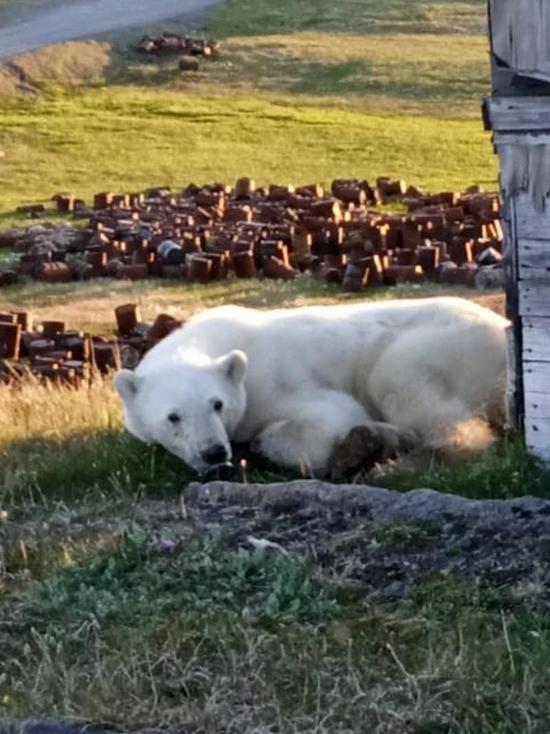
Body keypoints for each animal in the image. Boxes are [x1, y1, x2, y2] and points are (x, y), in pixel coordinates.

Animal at [114, 300, 512, 478]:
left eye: (217, 404)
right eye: (173, 416)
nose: (214, 453)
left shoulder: (274, 381)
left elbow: (328, 416)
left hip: (441, 345)